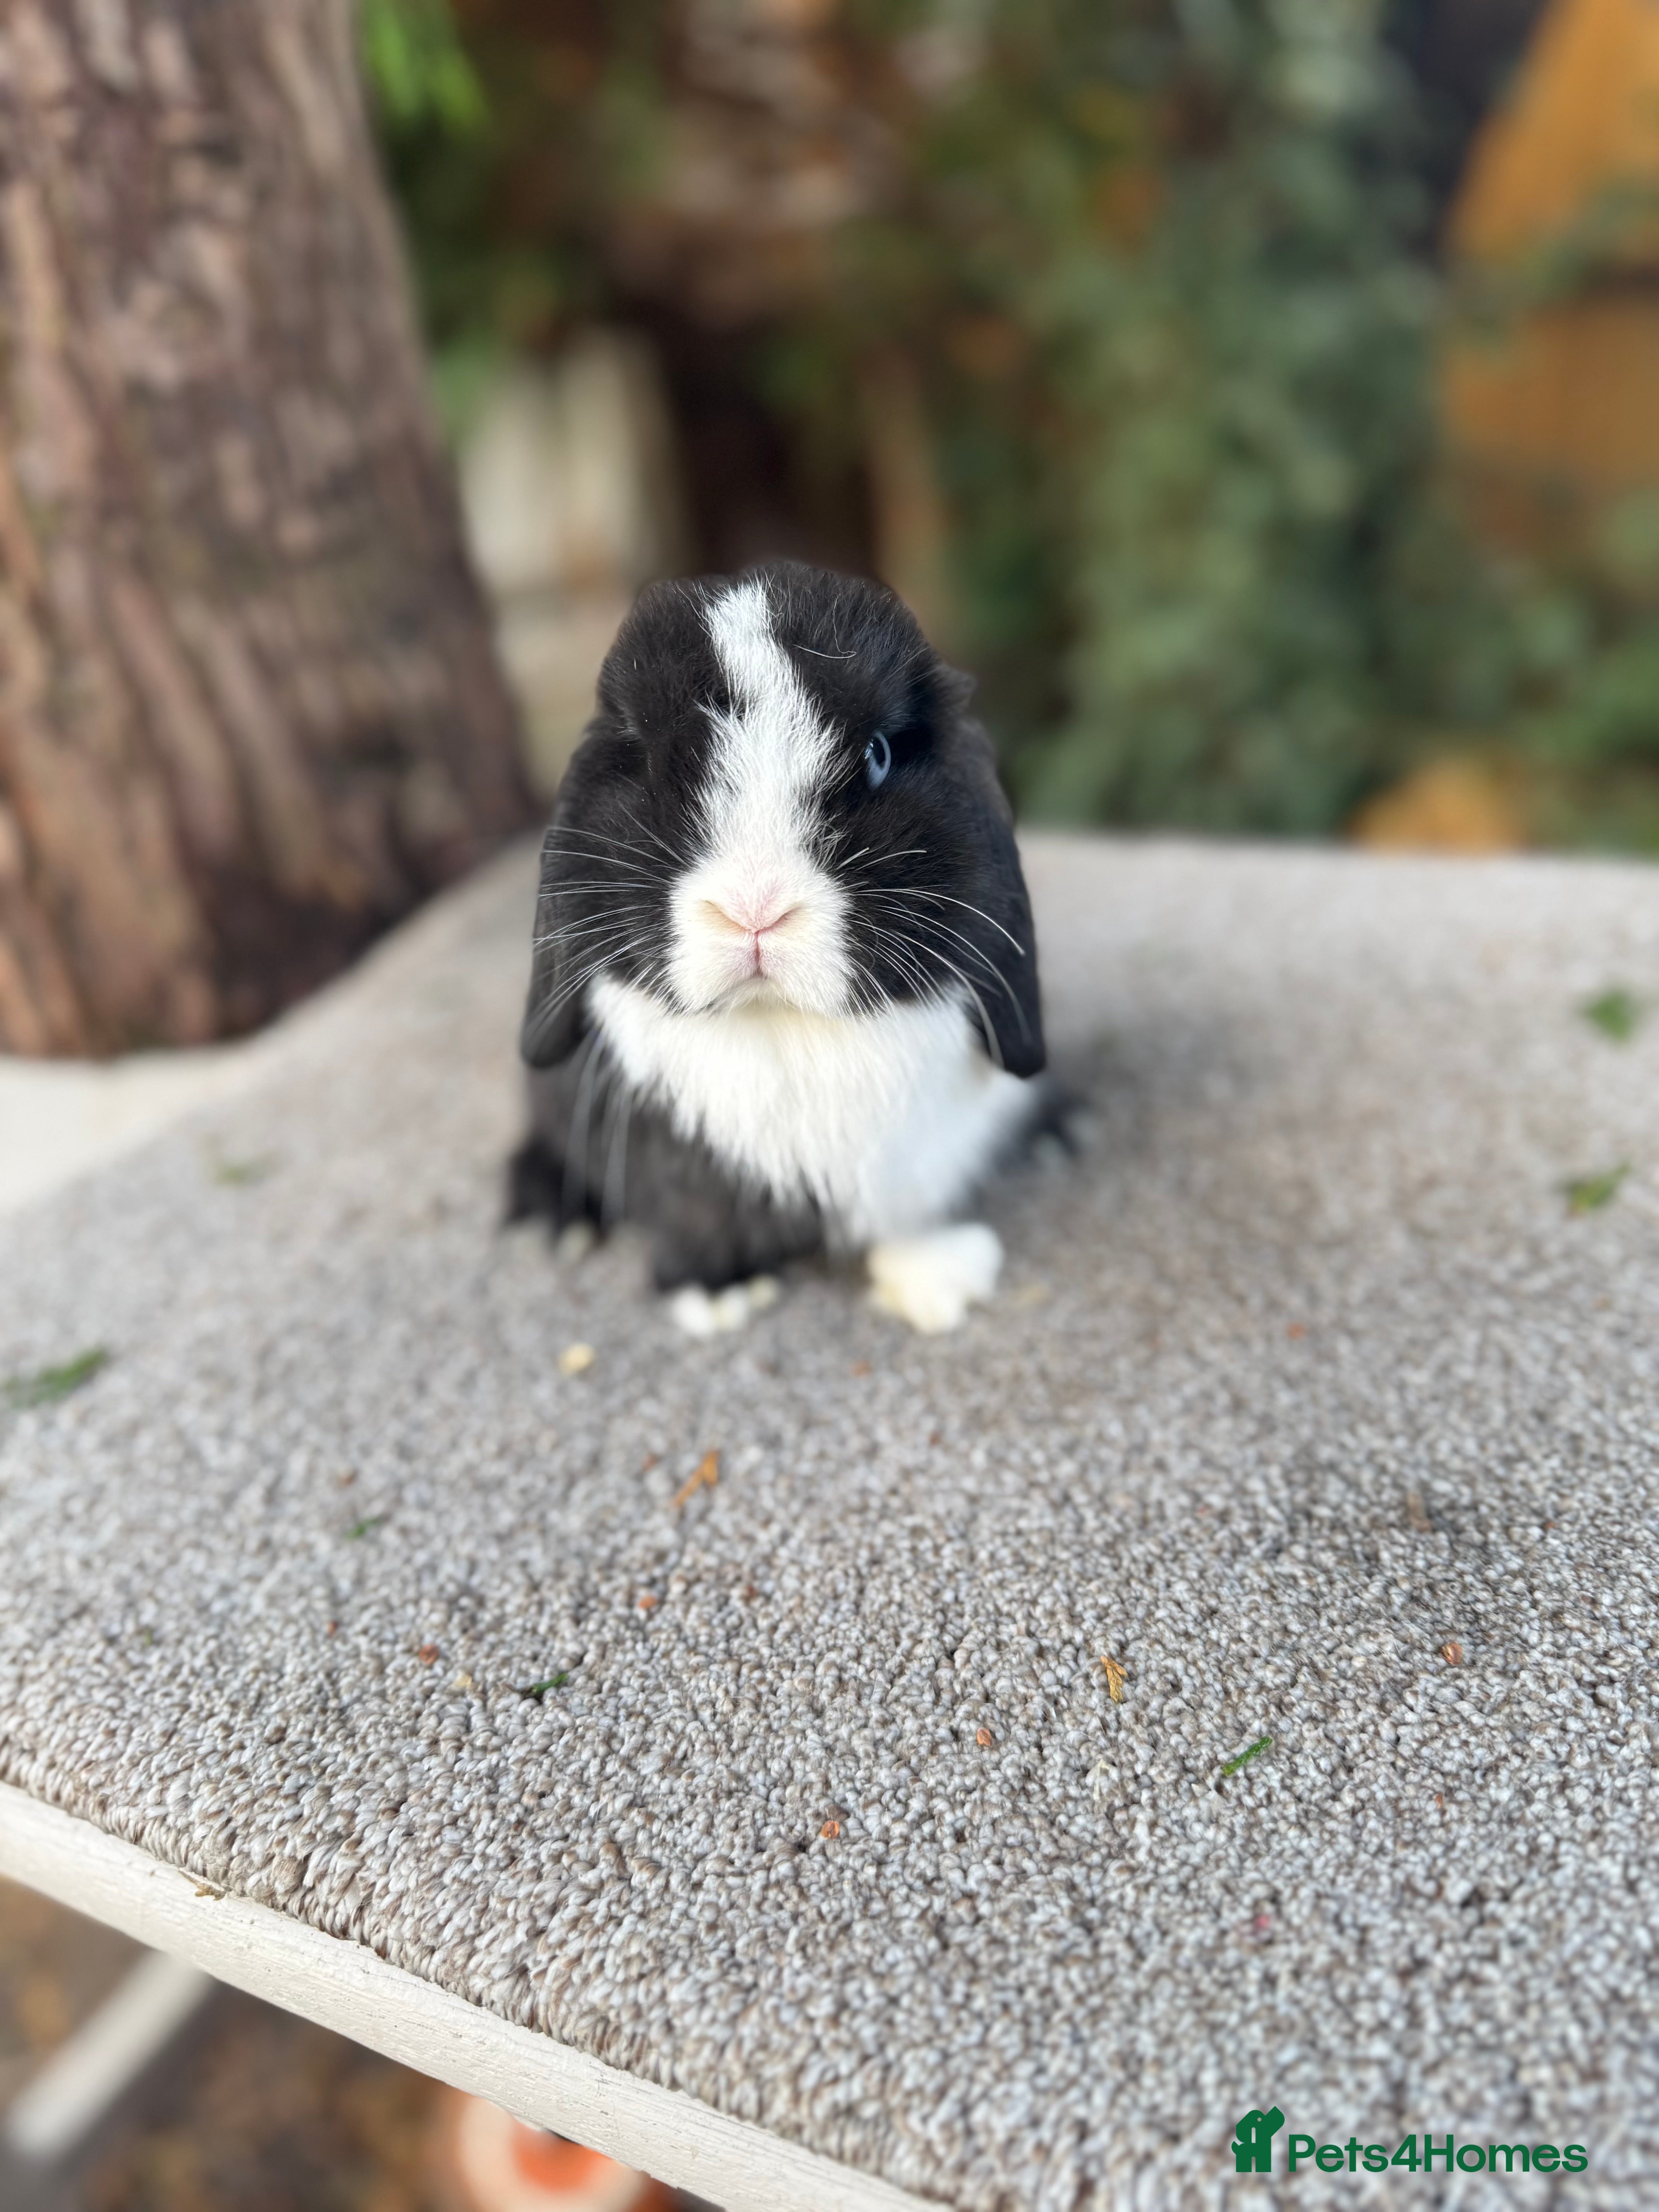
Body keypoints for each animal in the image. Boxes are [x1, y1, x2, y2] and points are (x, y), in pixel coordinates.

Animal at [507, 559, 1046, 1334]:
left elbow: (906, 1212)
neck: (781, 1024)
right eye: (649, 761)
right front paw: (715, 1295)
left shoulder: (915, 1156)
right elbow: (691, 1217)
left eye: (878, 754)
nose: (754, 909)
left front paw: (941, 1280)